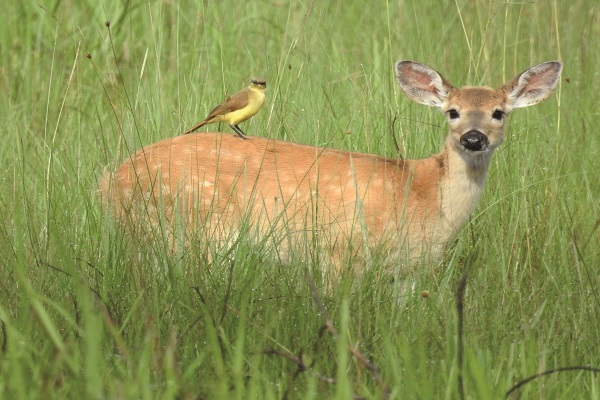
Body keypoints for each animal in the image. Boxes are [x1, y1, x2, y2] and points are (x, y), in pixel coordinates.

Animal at [98, 61, 564, 268]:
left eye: (499, 112)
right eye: (452, 111)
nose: (474, 139)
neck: (424, 193)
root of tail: (109, 181)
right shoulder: (340, 250)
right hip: (179, 233)